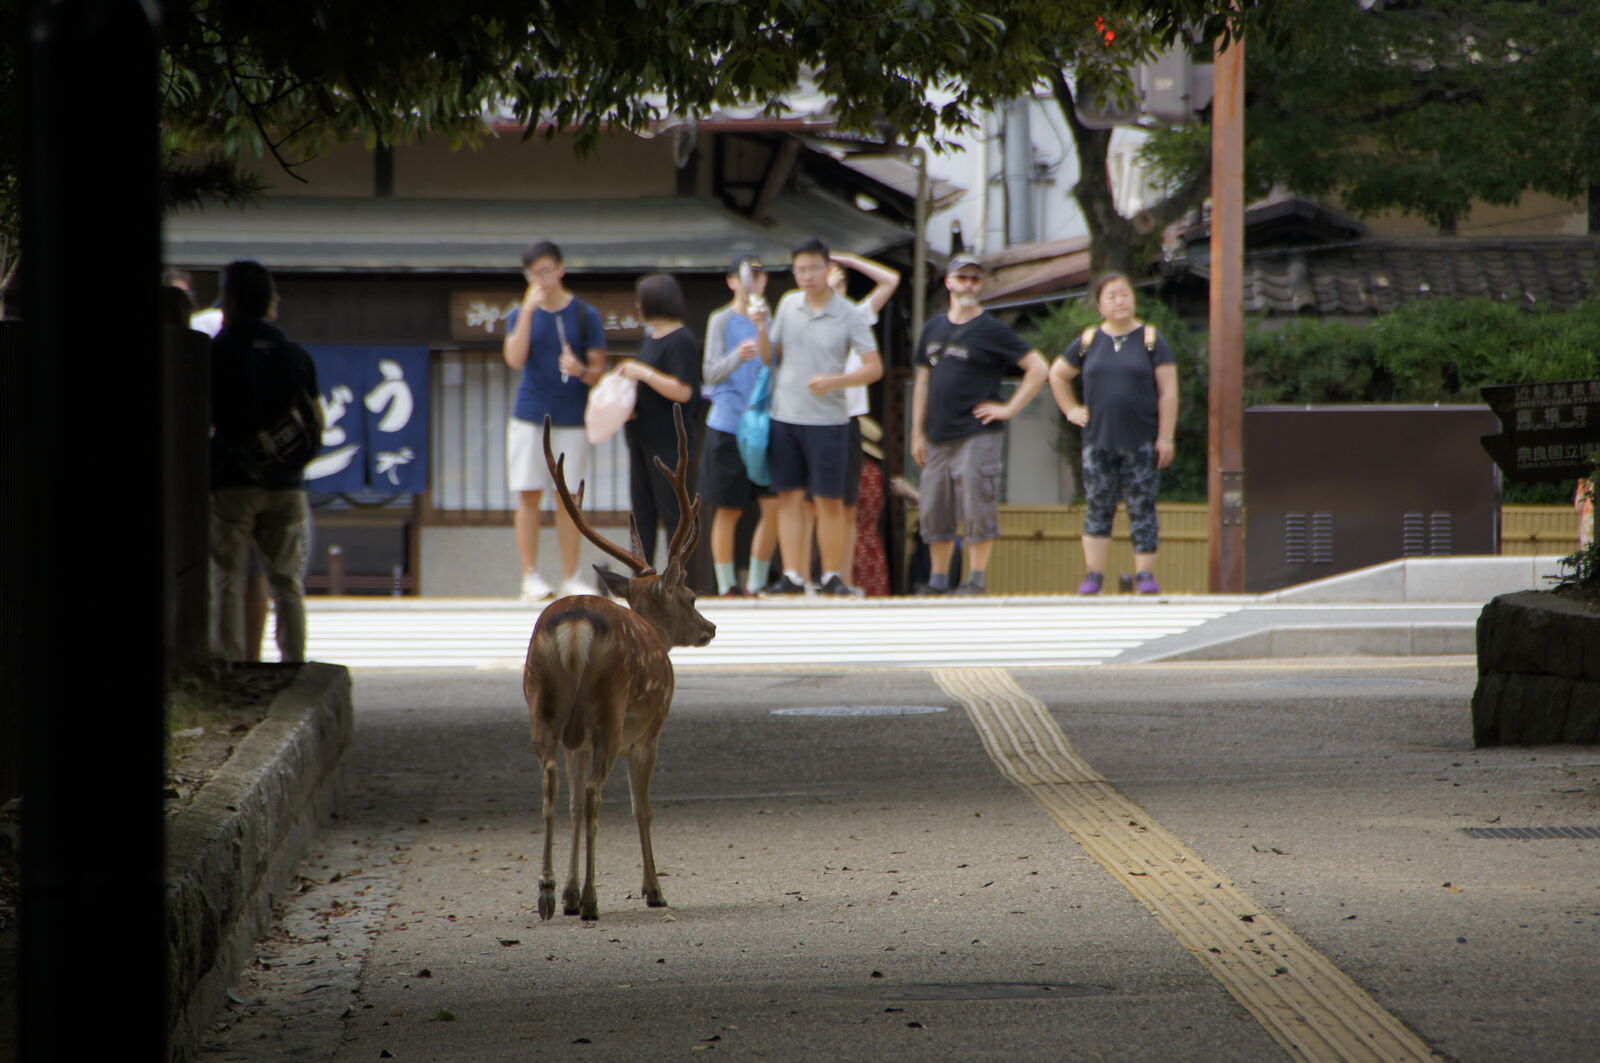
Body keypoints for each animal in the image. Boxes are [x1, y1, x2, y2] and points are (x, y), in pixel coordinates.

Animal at [523, 407, 716, 921]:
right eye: (692, 597)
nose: (710, 628)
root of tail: (574, 629)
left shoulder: (578, 740)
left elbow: (572, 804)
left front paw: (568, 892)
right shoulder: (649, 733)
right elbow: (639, 808)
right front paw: (652, 889)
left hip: (543, 704)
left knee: (552, 786)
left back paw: (547, 891)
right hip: (608, 710)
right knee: (593, 794)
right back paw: (592, 900)